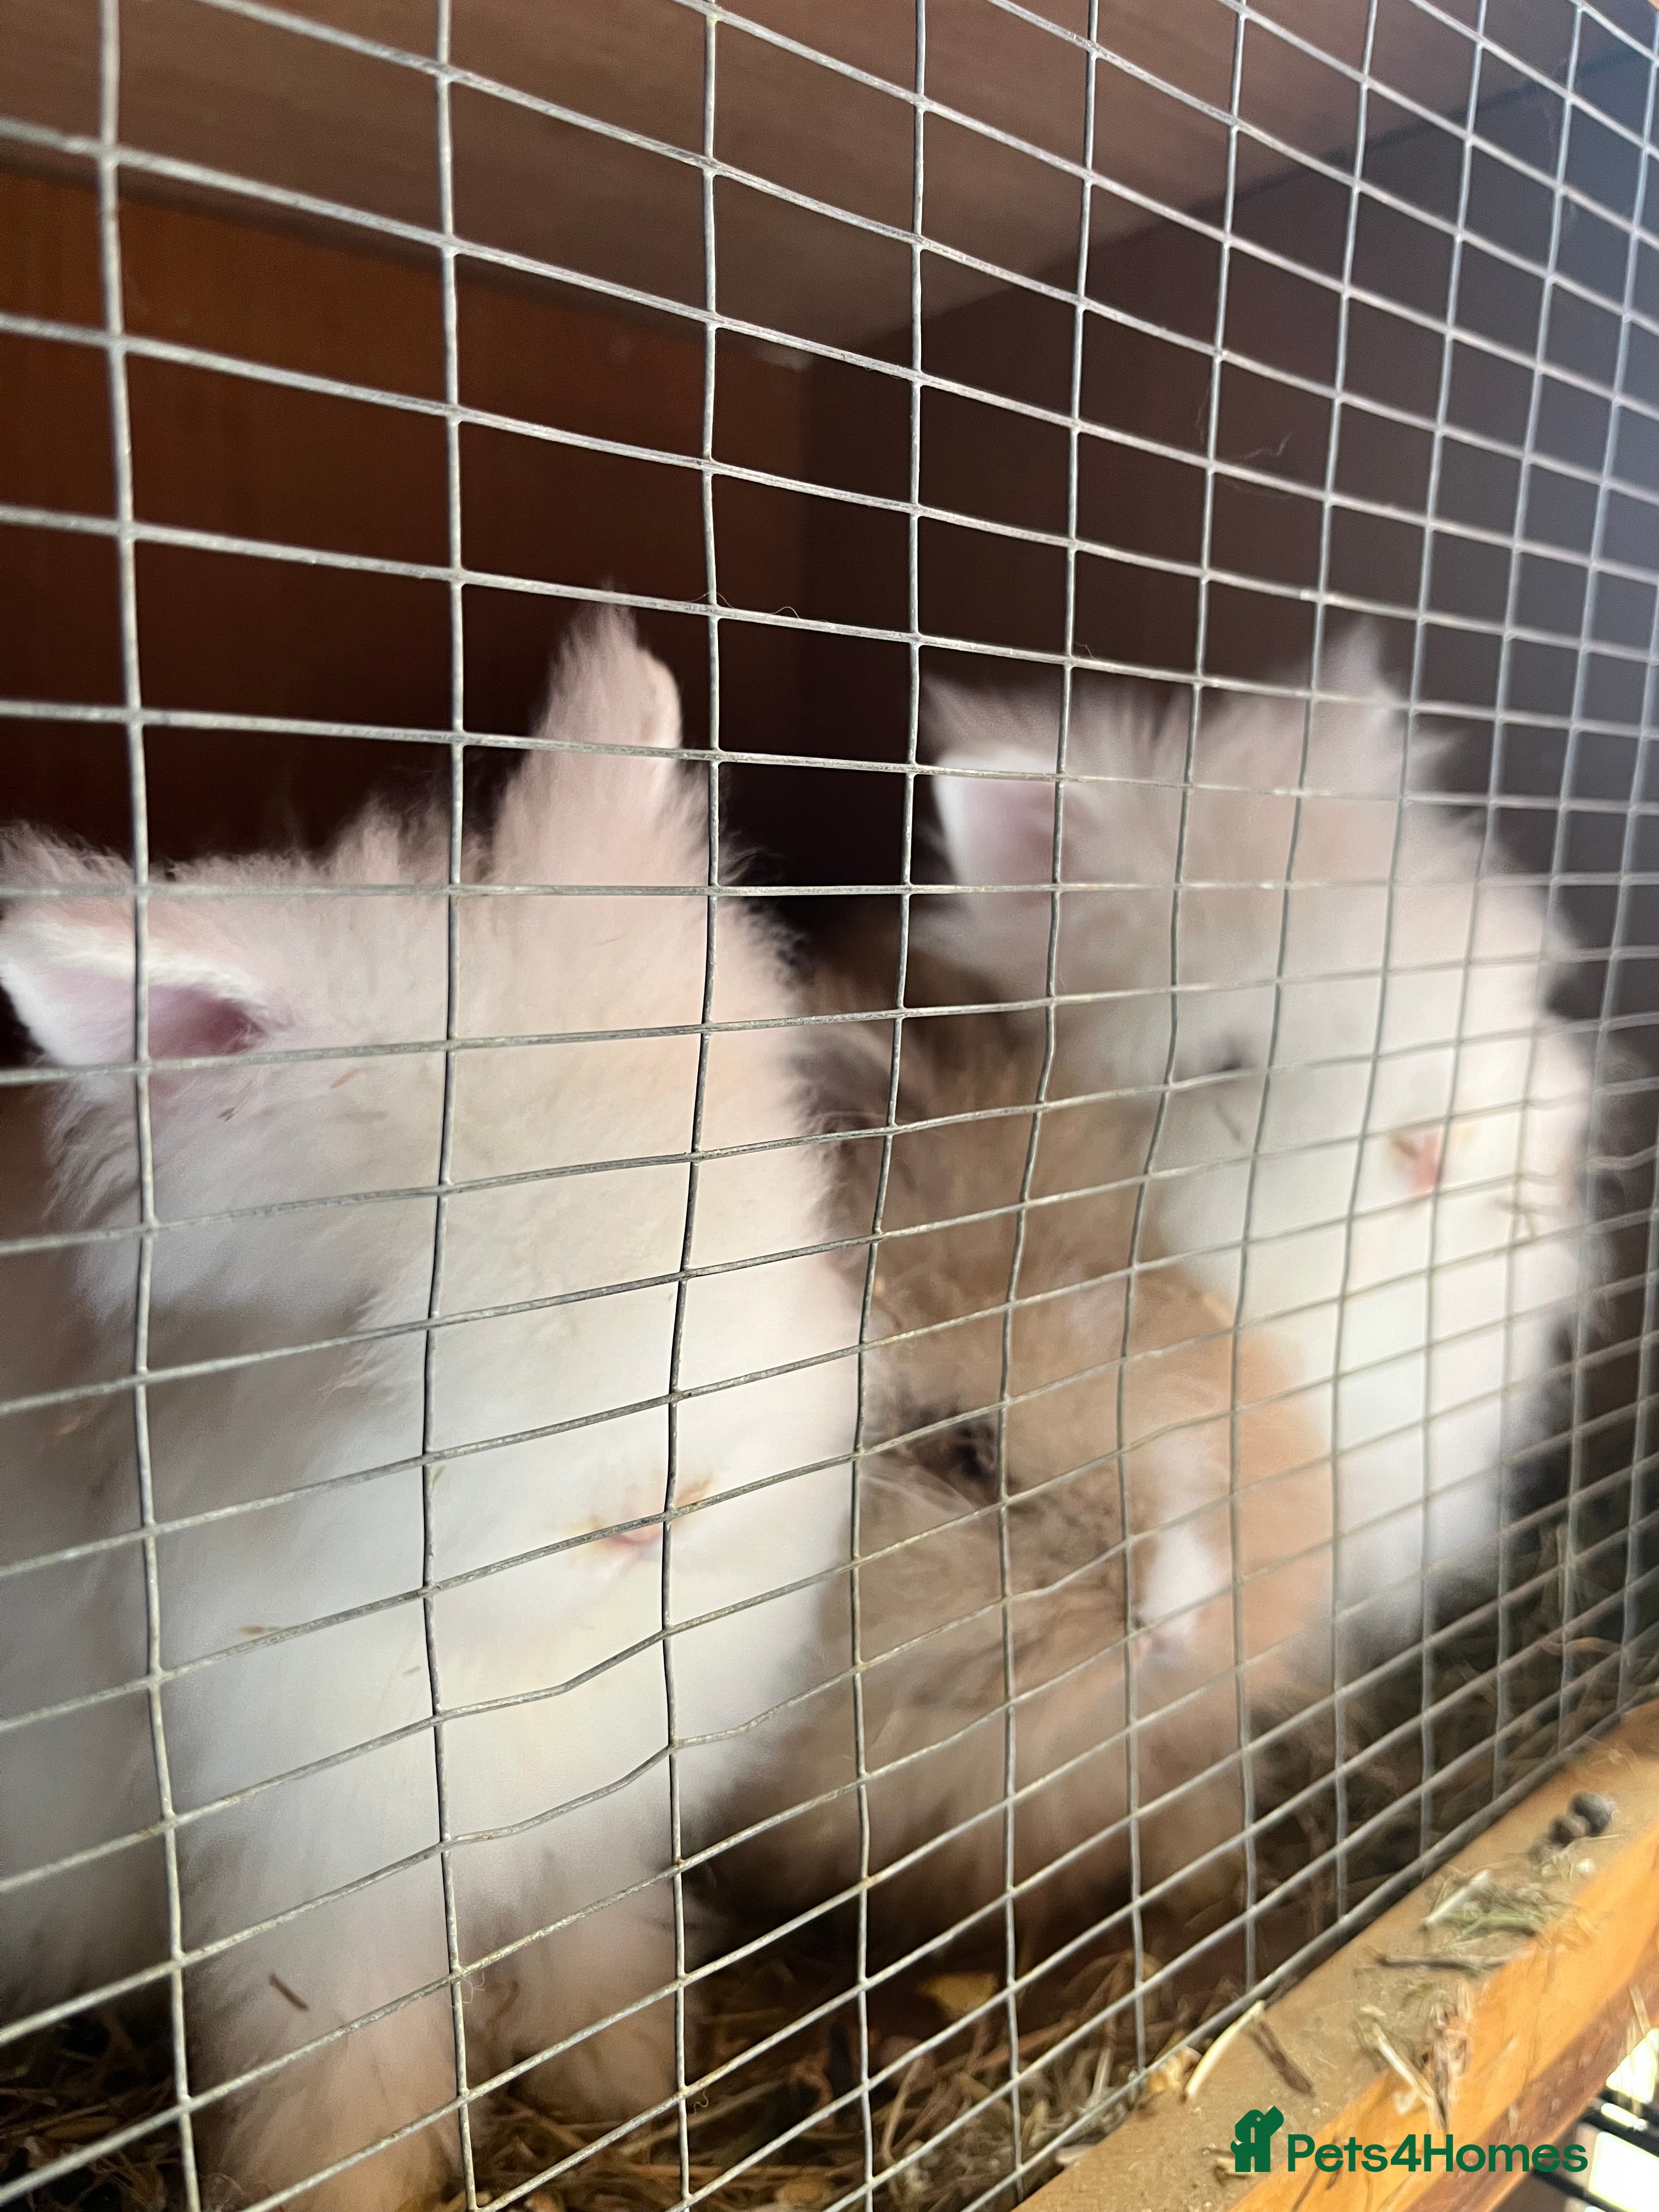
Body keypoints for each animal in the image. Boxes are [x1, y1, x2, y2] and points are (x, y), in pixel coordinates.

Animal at [0, 610, 860, 2212]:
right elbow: (345, 2058)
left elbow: (592, 1949)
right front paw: (346, 2187)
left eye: (740, 1199)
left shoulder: (597, 1817)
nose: (654, 1507)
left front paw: (625, 2086)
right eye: (394, 1316)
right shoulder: (325, 1882)